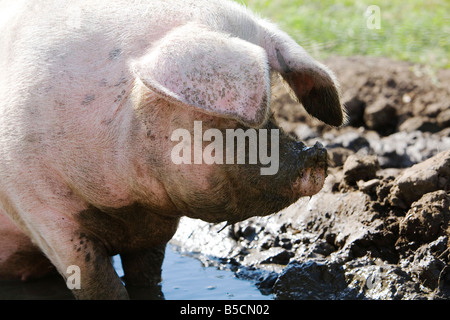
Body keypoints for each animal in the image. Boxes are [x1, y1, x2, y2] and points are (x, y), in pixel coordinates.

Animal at [0, 0, 344, 300]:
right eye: (231, 120)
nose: (316, 155)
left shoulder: (154, 226)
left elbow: (148, 276)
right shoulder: (37, 206)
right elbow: (98, 282)